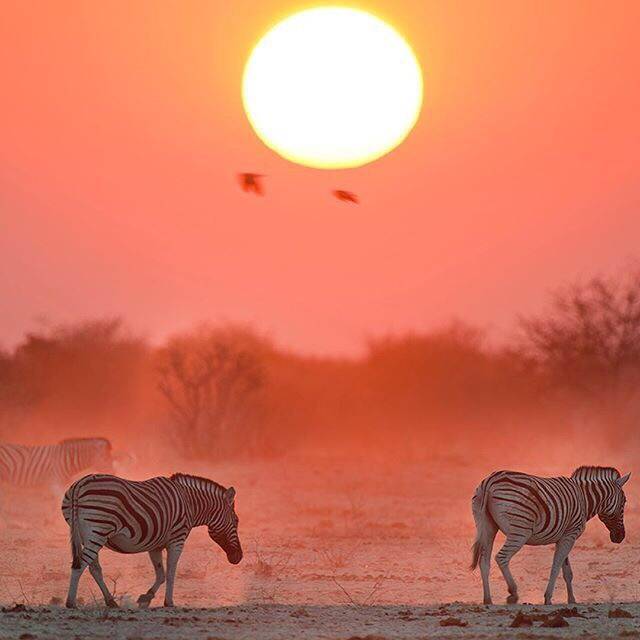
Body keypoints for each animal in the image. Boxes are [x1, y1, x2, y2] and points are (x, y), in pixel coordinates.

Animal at [62, 472, 242, 608]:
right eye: (236, 521)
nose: (238, 557)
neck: (190, 503)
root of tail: (79, 484)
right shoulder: (177, 539)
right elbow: (171, 572)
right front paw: (169, 602)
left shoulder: (155, 545)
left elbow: (161, 574)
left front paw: (146, 598)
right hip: (98, 530)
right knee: (79, 566)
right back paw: (71, 602)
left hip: (87, 535)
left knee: (94, 568)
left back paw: (111, 601)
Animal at [470, 464, 632, 604]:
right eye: (624, 502)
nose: (620, 537)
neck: (584, 499)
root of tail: (489, 482)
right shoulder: (570, 535)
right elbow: (556, 567)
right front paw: (548, 598)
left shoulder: (565, 536)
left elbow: (567, 572)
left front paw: (572, 600)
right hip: (520, 531)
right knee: (501, 557)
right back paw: (513, 593)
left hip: (488, 527)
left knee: (484, 562)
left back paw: (488, 600)